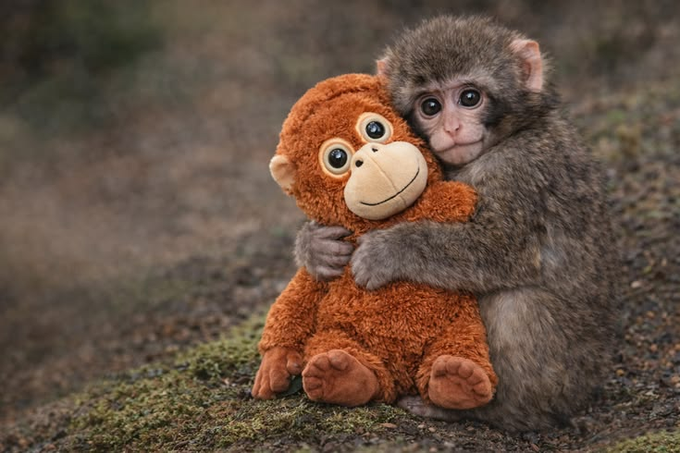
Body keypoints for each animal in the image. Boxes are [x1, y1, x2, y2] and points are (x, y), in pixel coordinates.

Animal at [294, 16, 618, 431]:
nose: (451, 128)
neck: (505, 138)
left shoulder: (522, 170)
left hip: (566, 375)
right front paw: (315, 248)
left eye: (469, 98)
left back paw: (471, 404)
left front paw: (388, 250)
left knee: (516, 302)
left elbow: (501, 249)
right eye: (430, 105)